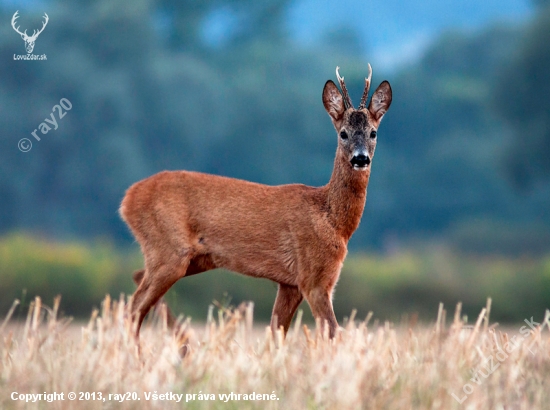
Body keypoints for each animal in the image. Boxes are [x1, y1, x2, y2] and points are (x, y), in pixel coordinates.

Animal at [121, 65, 392, 338]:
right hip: (168, 249)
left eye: (373, 132)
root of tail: (128, 199)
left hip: (191, 258)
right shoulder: (313, 276)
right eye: (343, 133)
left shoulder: (290, 283)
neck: (332, 220)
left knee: (137, 282)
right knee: (133, 307)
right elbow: (333, 331)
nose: (360, 158)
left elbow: (276, 332)